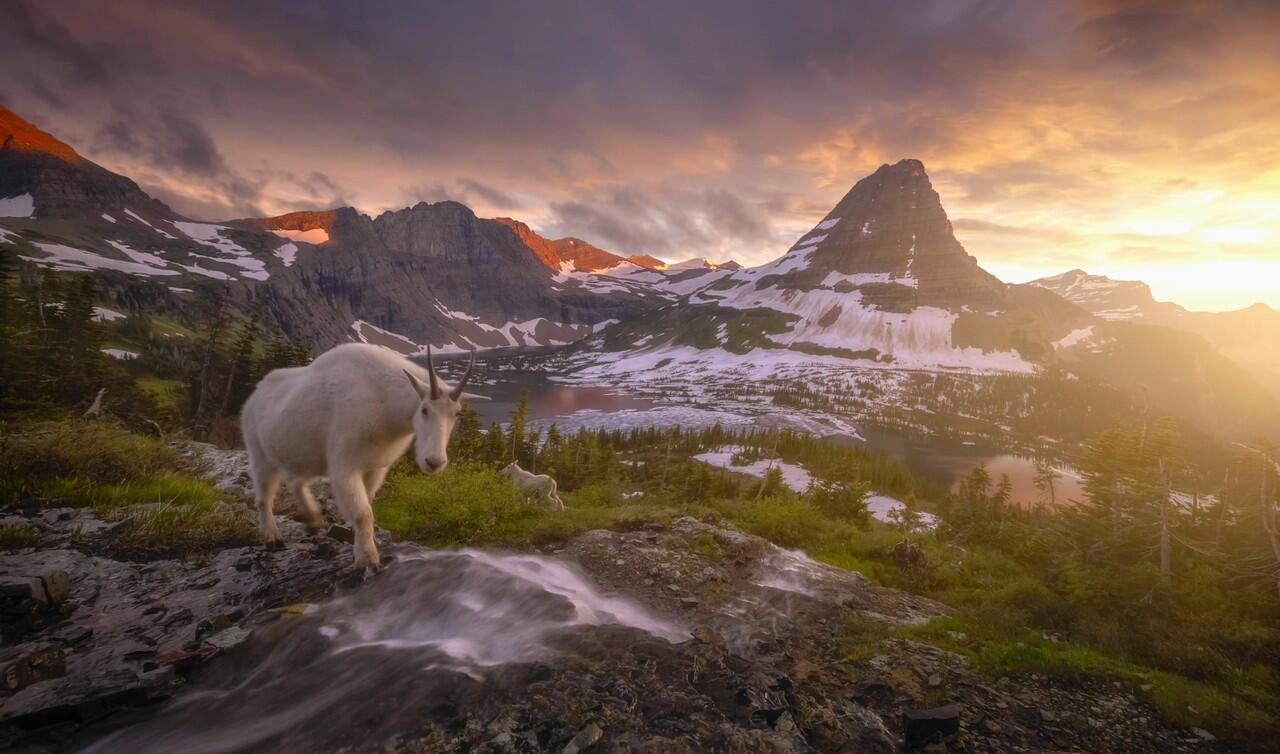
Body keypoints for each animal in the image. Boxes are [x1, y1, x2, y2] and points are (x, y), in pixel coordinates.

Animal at [239, 340, 483, 563]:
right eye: (424, 410)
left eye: (457, 414)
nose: (434, 462)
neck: (382, 402)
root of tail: (253, 397)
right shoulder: (345, 465)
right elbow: (362, 512)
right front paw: (368, 559)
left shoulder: (376, 467)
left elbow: (368, 502)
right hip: (260, 453)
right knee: (263, 497)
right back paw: (273, 538)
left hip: (309, 458)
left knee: (296, 482)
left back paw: (313, 519)